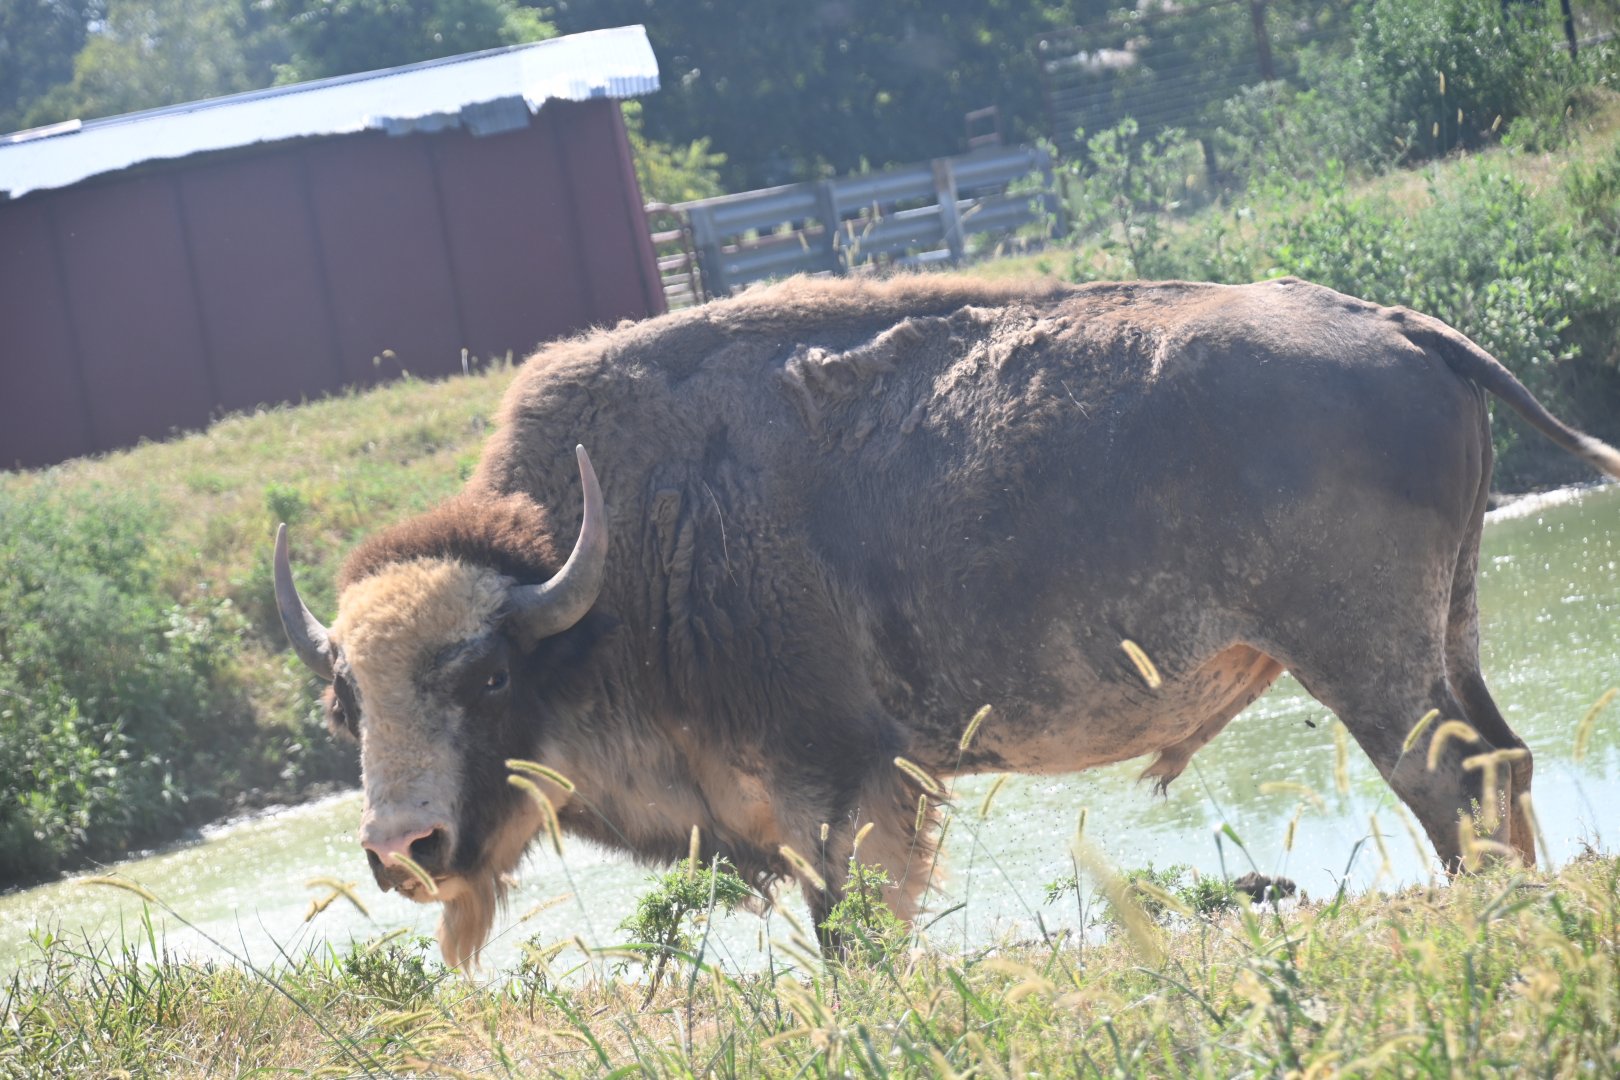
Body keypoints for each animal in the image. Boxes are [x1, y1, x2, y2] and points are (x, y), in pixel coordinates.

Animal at [274, 275, 1620, 965]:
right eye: (346, 704)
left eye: (488, 677)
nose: (402, 847)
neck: (605, 571)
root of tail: (1402, 324)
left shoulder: (842, 791)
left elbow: (857, 937)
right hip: (1451, 629)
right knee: (1505, 764)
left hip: (1366, 663)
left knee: (1449, 785)